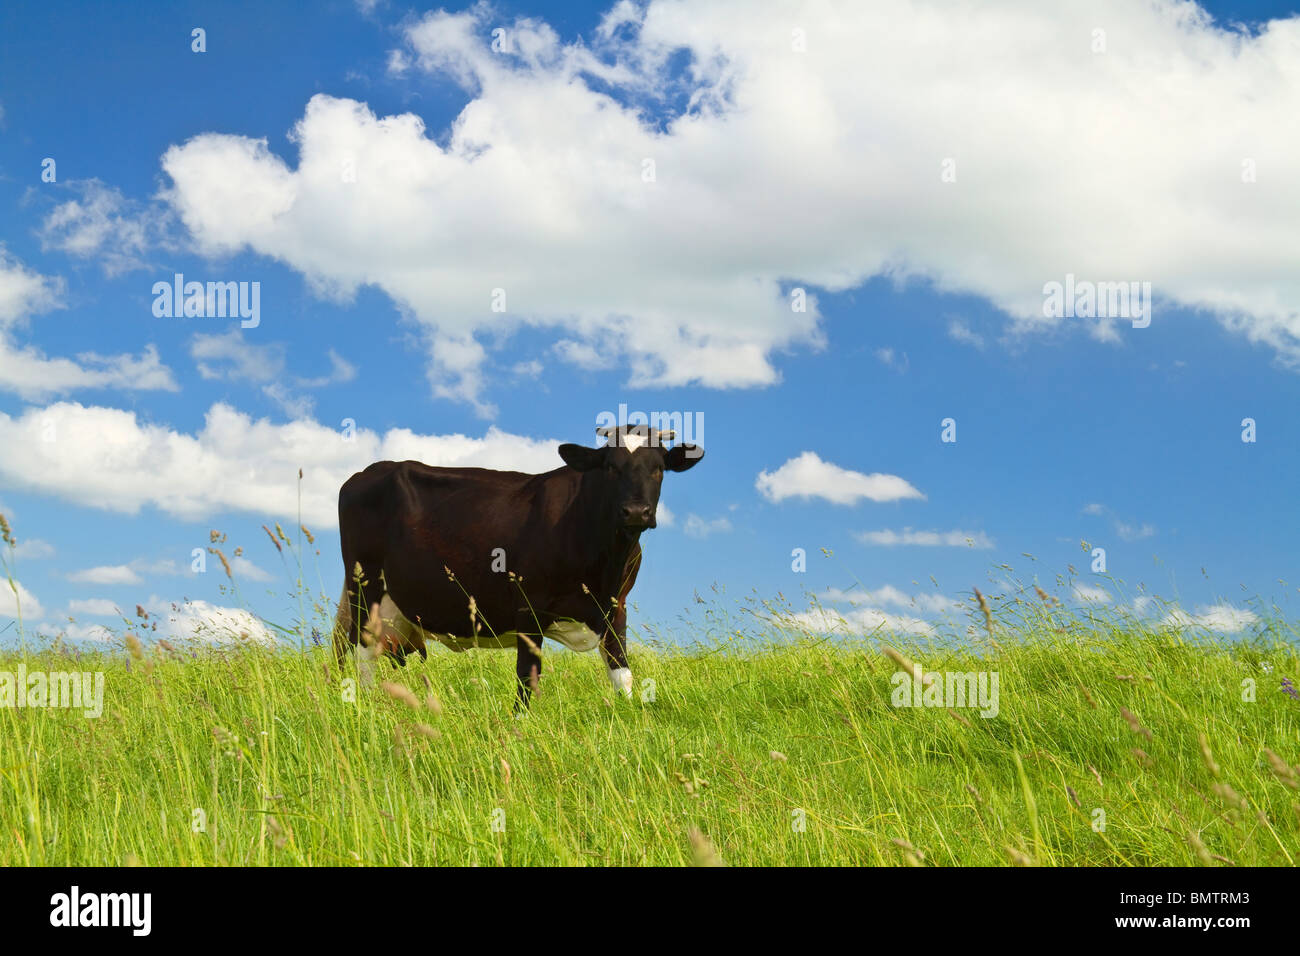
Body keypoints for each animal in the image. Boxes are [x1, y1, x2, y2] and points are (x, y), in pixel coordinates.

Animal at [330, 421, 707, 707]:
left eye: (659, 468)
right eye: (611, 466)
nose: (636, 512)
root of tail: (367, 471)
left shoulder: (617, 606)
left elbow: (622, 674)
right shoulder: (529, 606)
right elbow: (527, 679)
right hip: (365, 588)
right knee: (362, 657)